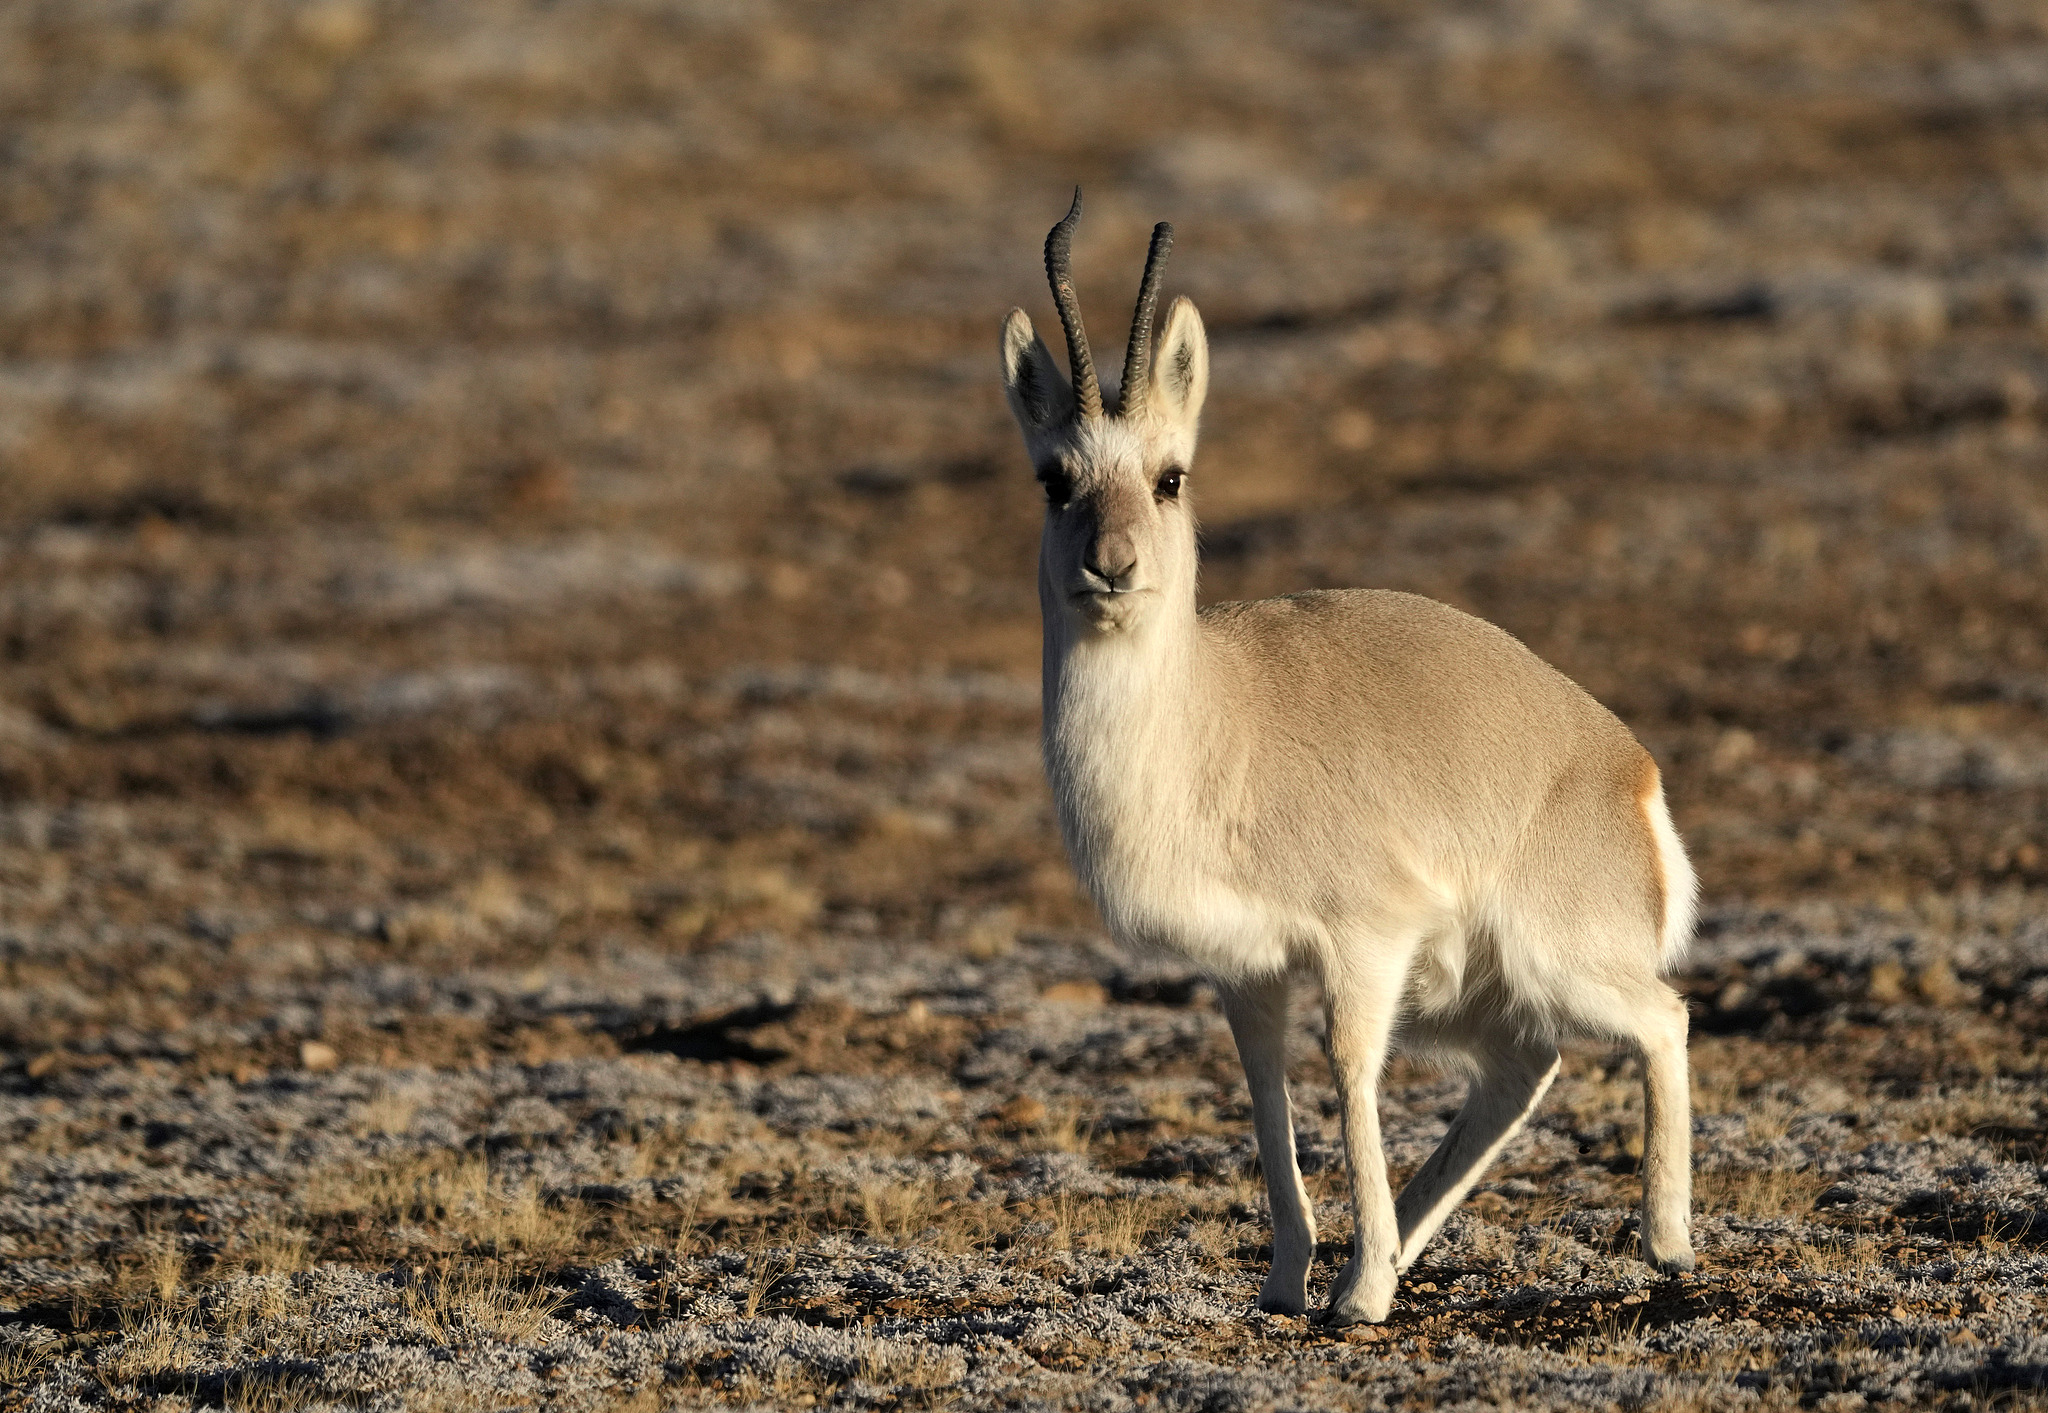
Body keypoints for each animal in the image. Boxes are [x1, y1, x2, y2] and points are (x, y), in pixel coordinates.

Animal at [999, 192, 1697, 1325]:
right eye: (1053, 480)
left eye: (1170, 476)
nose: (1111, 566)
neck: (1210, 727)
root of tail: (1627, 768)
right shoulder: (1245, 968)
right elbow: (1266, 1092)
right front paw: (1290, 1277)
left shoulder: (1362, 944)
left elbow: (1345, 1074)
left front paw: (1360, 1291)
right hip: (1475, 995)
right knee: (1523, 1069)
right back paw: (1406, 1245)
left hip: (1545, 962)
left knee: (1663, 1019)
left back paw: (1661, 1242)